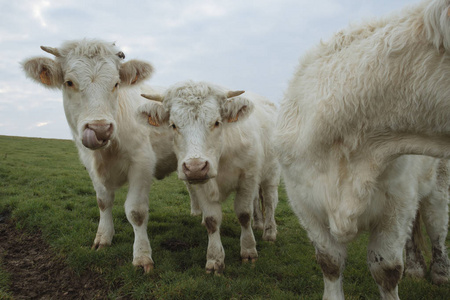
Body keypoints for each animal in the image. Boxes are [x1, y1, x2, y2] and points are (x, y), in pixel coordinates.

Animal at [21, 39, 176, 272]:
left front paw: (142, 257)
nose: (100, 129)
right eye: (69, 82)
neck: (106, 153)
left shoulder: (142, 163)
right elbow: (103, 202)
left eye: (116, 83)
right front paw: (103, 238)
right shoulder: (90, 165)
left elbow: (136, 212)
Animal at [137, 79, 280, 274]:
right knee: (257, 201)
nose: (195, 167)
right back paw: (258, 224)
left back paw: (269, 232)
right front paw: (214, 259)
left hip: (270, 172)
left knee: (270, 200)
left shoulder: (248, 177)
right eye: (173, 125)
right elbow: (212, 220)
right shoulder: (202, 185)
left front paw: (249, 251)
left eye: (217, 122)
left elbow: (244, 214)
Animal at [274, 0, 450, 298]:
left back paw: (439, 272)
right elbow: (330, 262)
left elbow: (386, 269)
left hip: (438, 183)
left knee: (436, 225)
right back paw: (416, 268)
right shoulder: (304, 202)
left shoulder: (398, 202)